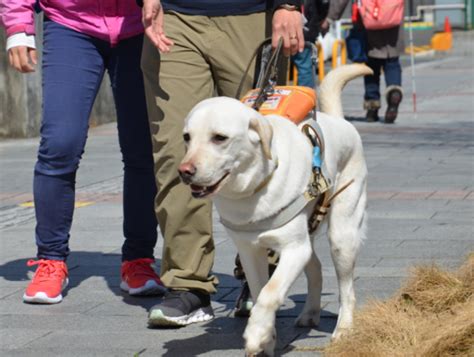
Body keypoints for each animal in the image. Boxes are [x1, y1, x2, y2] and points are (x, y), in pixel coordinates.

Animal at [178, 64, 370, 356]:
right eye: (187, 137)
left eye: (220, 138)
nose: (185, 171)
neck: (254, 188)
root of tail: (339, 121)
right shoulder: (250, 251)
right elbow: (260, 292)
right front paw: (266, 339)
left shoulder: (294, 249)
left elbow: (270, 293)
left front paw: (257, 334)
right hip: (308, 236)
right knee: (315, 267)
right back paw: (310, 313)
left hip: (342, 235)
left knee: (347, 289)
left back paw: (344, 330)